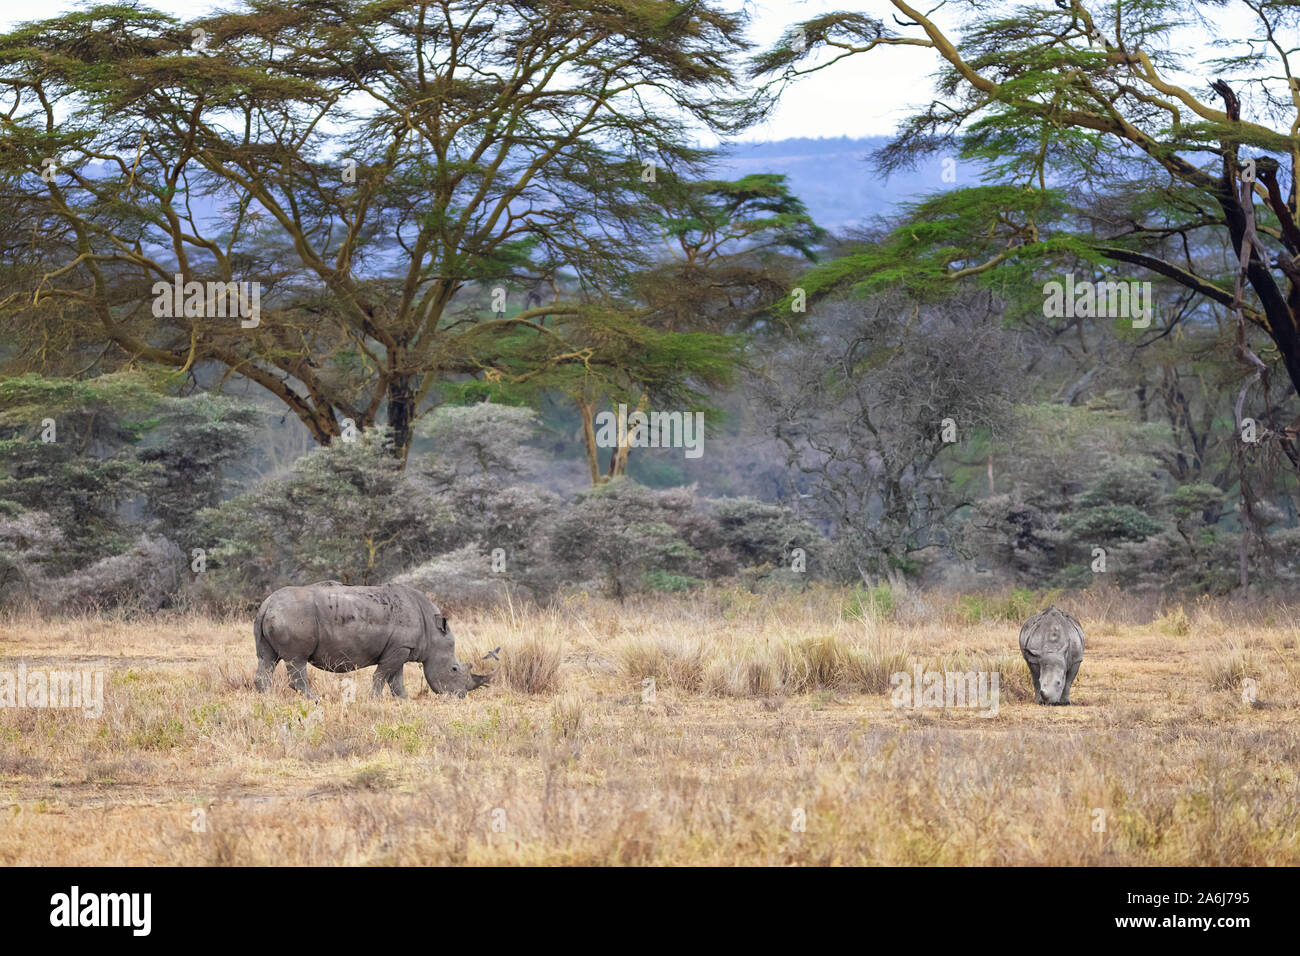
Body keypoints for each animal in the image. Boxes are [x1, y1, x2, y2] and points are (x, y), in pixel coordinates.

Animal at [253, 580, 491, 697]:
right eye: (454, 669)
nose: (460, 696)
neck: (432, 633)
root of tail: (266, 605)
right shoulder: (399, 648)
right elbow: (382, 676)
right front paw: (374, 699)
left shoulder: (401, 648)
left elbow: (396, 680)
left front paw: (403, 700)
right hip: (293, 616)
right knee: (296, 660)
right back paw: (314, 700)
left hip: (275, 615)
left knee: (267, 659)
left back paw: (266, 700)